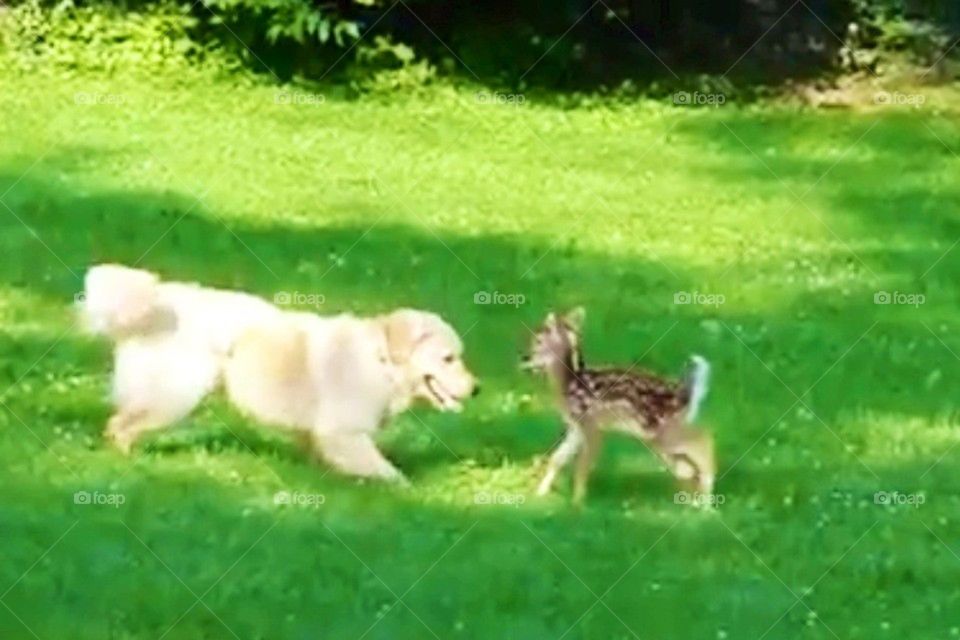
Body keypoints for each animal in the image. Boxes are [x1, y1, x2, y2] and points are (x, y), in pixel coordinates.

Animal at [82, 262, 476, 482]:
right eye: (448, 359)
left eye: (458, 357)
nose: (477, 390)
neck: (381, 360)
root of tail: (159, 299)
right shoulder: (343, 432)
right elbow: (386, 472)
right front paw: (407, 488)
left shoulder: (320, 432)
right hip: (175, 394)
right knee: (120, 425)